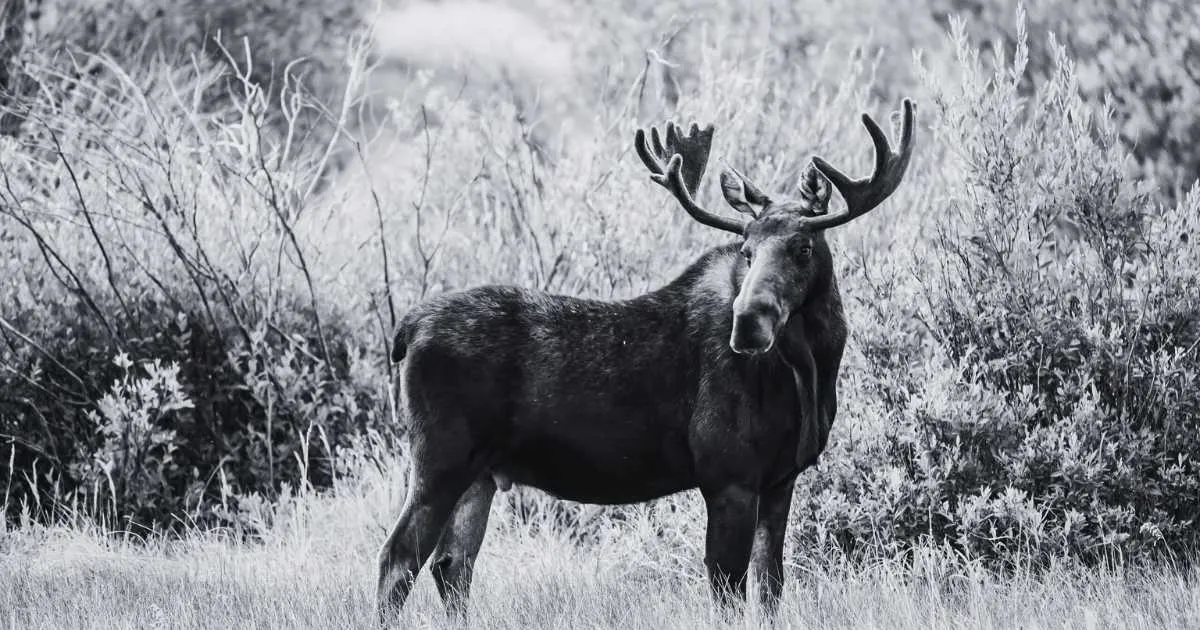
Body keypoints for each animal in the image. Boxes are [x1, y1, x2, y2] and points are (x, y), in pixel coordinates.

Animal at [376, 98, 916, 623]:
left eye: (803, 246)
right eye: (746, 249)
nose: (748, 322)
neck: (812, 371)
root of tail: (406, 330)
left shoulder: (781, 480)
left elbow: (771, 589)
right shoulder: (728, 477)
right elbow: (727, 591)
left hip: (481, 473)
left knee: (451, 564)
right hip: (440, 457)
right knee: (398, 558)